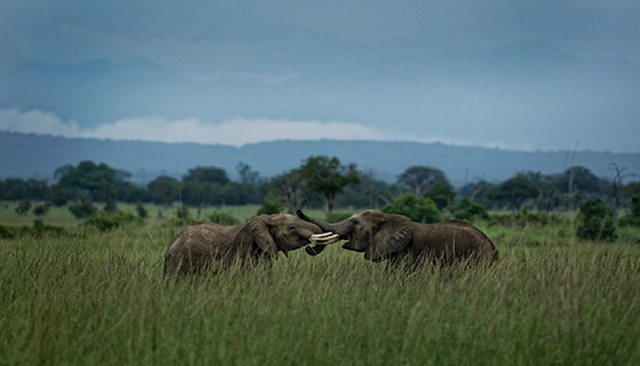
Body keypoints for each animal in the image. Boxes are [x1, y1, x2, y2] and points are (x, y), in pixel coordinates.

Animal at [162, 213, 338, 276]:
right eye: (291, 227)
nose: (309, 247)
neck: (265, 219)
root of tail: (170, 247)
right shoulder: (244, 248)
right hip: (179, 261)